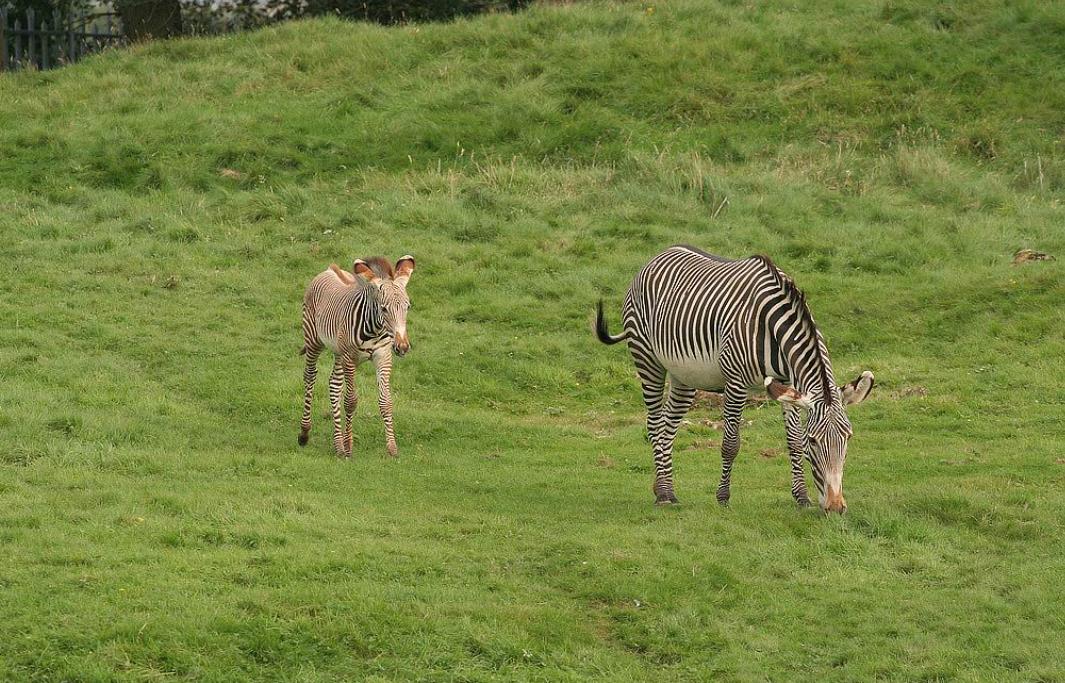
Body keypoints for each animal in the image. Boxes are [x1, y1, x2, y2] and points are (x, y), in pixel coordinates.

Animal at [302, 255, 417, 458]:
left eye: (408, 307)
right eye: (384, 309)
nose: (402, 347)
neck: (375, 329)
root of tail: (329, 269)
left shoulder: (383, 356)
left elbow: (386, 402)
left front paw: (392, 448)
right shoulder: (350, 358)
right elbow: (351, 401)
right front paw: (349, 447)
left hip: (338, 352)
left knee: (334, 385)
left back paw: (338, 445)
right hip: (314, 341)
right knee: (310, 375)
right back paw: (305, 433)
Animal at [600, 245, 873, 511]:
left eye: (848, 437)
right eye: (814, 441)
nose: (836, 507)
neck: (773, 326)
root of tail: (658, 255)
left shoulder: (789, 384)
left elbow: (794, 441)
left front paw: (801, 498)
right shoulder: (736, 382)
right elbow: (730, 444)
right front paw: (722, 497)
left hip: (684, 375)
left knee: (668, 424)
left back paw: (663, 487)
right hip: (647, 358)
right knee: (655, 423)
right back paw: (665, 495)